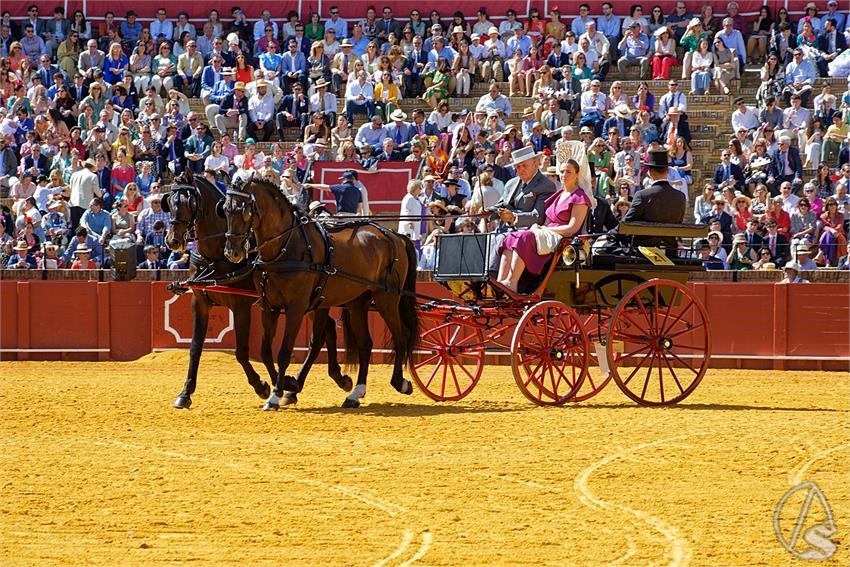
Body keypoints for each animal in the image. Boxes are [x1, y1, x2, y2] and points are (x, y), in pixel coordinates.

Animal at [162, 171, 352, 410]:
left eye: (189, 202)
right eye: (169, 202)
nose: (173, 241)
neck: (216, 257)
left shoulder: (241, 306)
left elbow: (242, 352)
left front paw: (263, 386)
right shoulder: (201, 302)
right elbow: (195, 348)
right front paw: (185, 393)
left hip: (312, 302)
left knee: (319, 338)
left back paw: (304, 384)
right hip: (313, 302)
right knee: (328, 331)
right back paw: (328, 379)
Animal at [219, 176, 418, 408]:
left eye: (245, 211)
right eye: (225, 209)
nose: (232, 252)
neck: (285, 247)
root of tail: (395, 235)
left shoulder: (296, 309)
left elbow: (284, 352)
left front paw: (277, 394)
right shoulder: (269, 307)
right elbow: (266, 352)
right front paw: (283, 385)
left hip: (387, 298)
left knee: (402, 335)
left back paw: (400, 382)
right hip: (358, 302)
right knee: (365, 344)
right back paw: (355, 393)